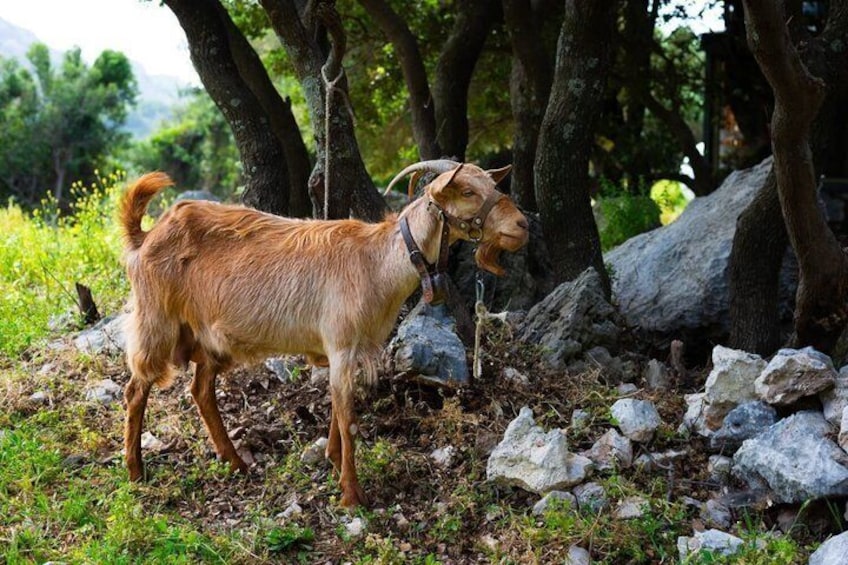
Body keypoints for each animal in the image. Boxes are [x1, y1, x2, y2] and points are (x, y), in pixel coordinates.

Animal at [119, 160, 529, 507]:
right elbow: (349, 420)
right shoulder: (342, 344)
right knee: (136, 389)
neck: (376, 262)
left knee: (200, 390)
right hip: (156, 321)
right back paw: (135, 471)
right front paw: (352, 494)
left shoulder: (347, 349)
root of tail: (145, 236)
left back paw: (236, 462)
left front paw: (332, 461)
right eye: (467, 191)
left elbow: (338, 409)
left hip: (208, 337)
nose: (522, 225)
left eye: (493, 184)